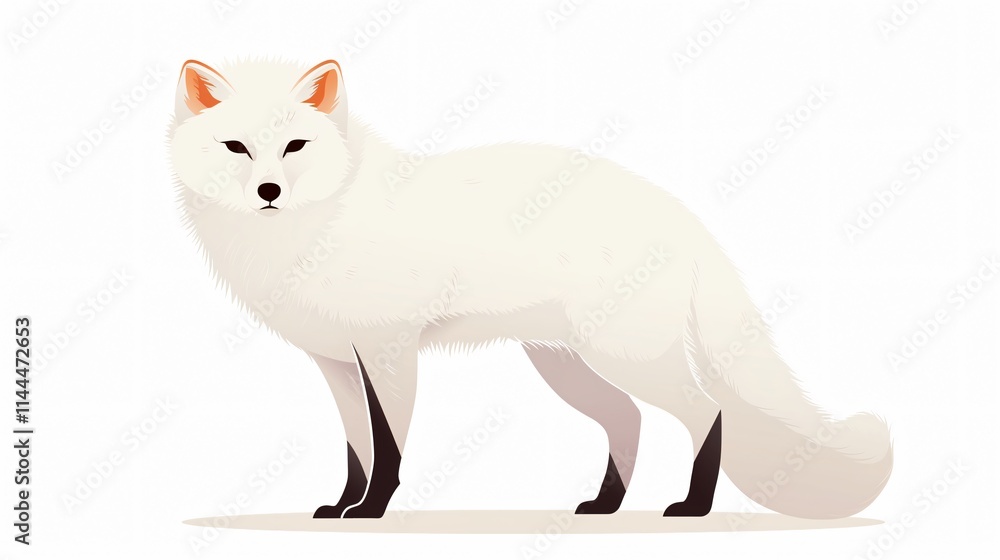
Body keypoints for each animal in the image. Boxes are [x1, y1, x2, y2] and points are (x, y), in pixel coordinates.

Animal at [168, 58, 892, 520]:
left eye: (295, 146)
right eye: (235, 148)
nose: (269, 191)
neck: (317, 226)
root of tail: (679, 213)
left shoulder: (387, 352)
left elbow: (388, 447)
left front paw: (371, 512)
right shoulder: (337, 364)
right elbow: (356, 450)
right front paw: (343, 503)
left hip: (624, 358)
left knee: (709, 412)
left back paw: (692, 507)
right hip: (568, 367)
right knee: (628, 420)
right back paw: (605, 506)